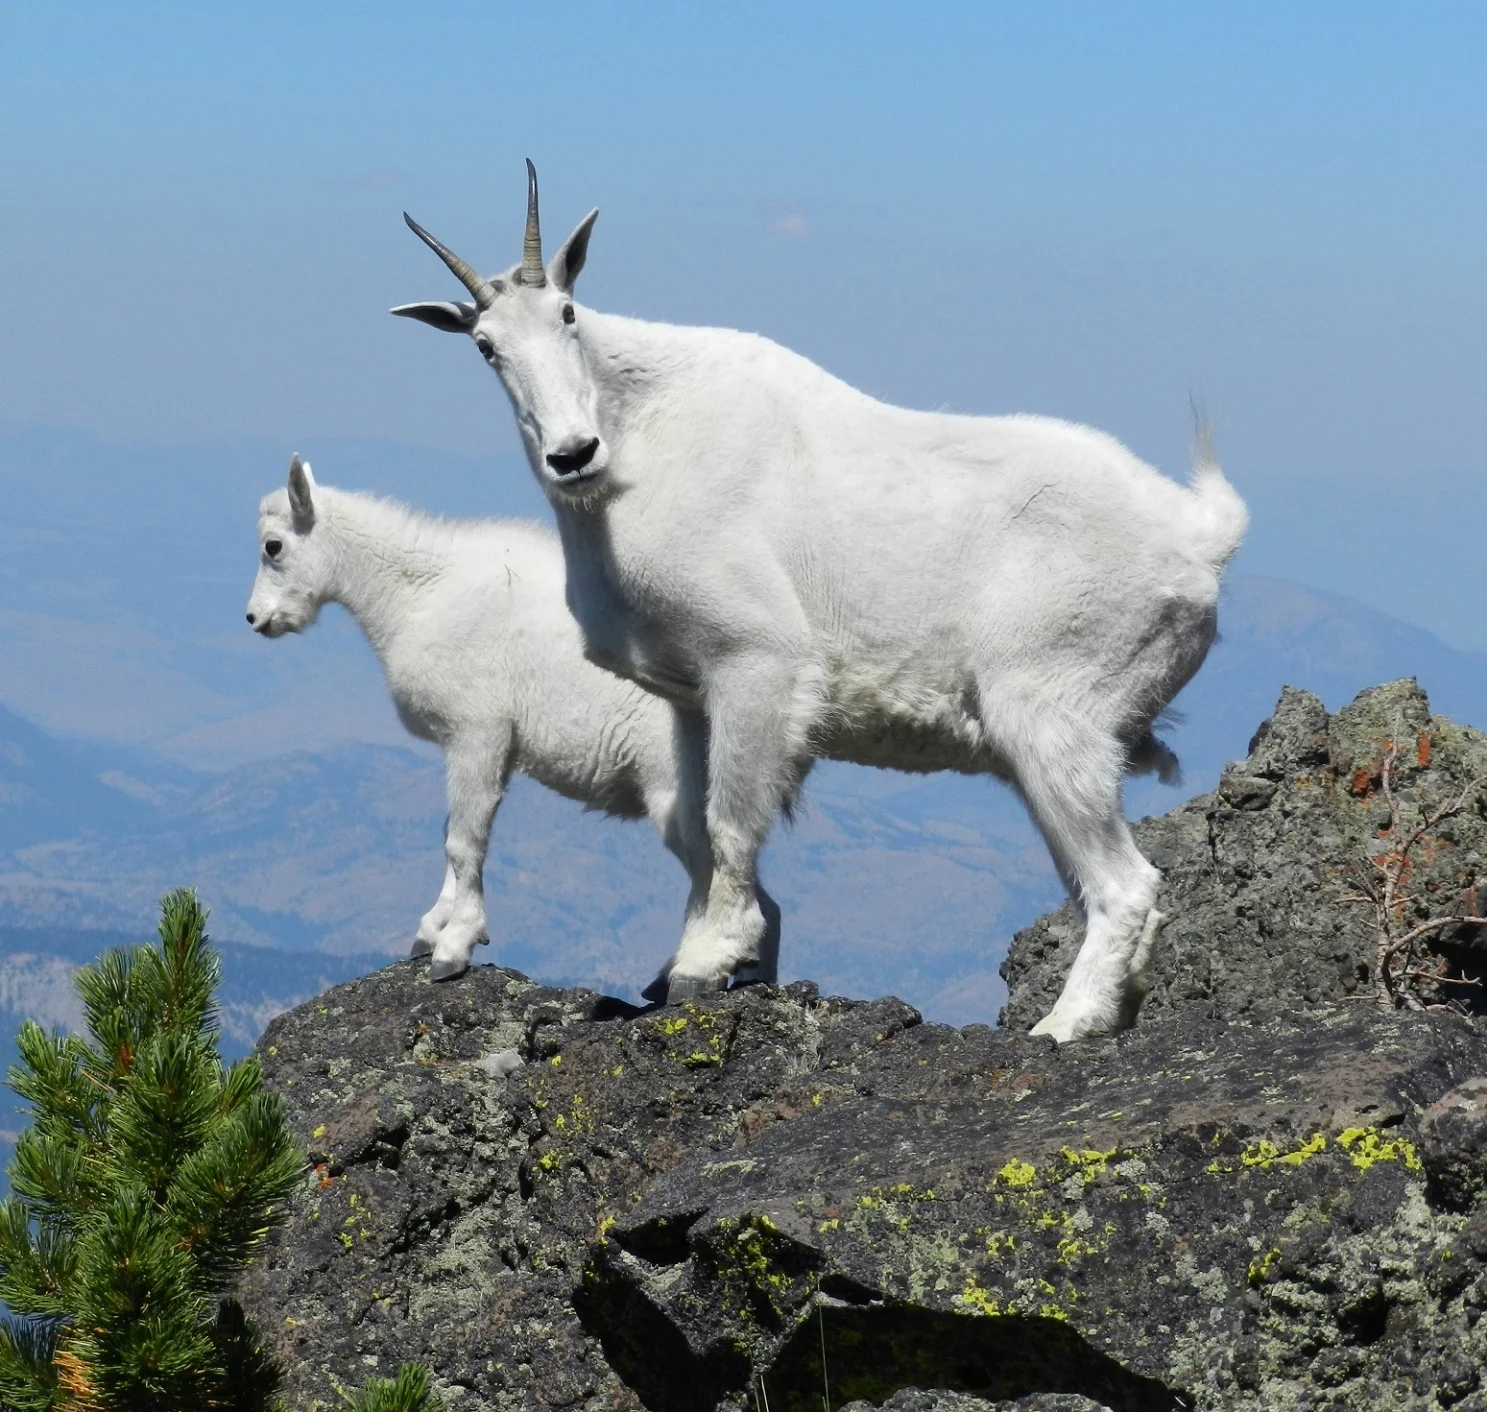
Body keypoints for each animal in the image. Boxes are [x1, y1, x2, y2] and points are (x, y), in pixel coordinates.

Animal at [245, 454, 778, 984]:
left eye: (273, 546)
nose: (255, 619)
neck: (416, 596)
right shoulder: (488, 746)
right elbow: (456, 831)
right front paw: (432, 929)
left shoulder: (475, 730)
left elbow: (463, 840)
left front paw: (453, 947)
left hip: (673, 787)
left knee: (721, 875)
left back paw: (697, 970)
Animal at [391, 163, 1247, 1040]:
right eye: (486, 347)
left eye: (567, 313)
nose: (572, 454)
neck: (637, 447)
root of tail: (1197, 538)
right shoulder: (689, 694)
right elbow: (696, 822)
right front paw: (690, 960)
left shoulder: (754, 661)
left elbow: (732, 818)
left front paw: (708, 962)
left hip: (1050, 711)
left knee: (1124, 884)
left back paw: (1063, 1025)